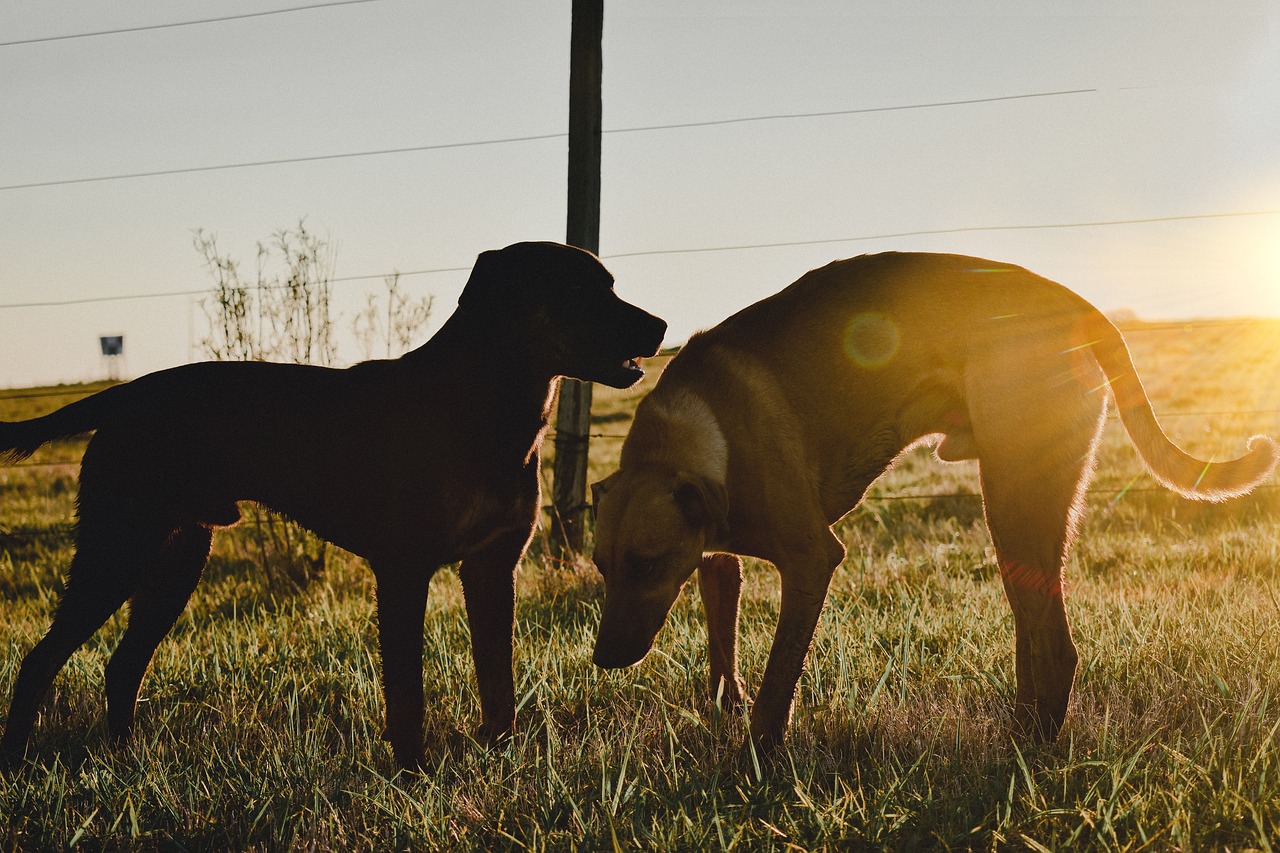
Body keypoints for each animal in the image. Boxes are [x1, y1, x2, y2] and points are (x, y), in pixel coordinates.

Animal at [5, 240, 670, 768]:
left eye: (610, 284)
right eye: (578, 290)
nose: (662, 326)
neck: (483, 404)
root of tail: (123, 396)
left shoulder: (491, 566)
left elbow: (497, 680)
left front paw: (499, 757)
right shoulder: (403, 571)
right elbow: (407, 693)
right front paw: (412, 776)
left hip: (177, 554)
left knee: (122, 666)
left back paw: (127, 762)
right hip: (118, 547)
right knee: (38, 662)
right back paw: (18, 763)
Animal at [591, 249, 1280, 747]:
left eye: (647, 564)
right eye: (601, 566)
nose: (604, 659)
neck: (694, 426)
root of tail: (1078, 306)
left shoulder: (812, 558)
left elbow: (778, 681)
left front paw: (755, 757)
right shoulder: (716, 556)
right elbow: (723, 643)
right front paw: (726, 706)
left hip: (1015, 496)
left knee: (1057, 646)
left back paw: (1031, 750)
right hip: (1019, 512)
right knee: (1034, 636)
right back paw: (1022, 728)